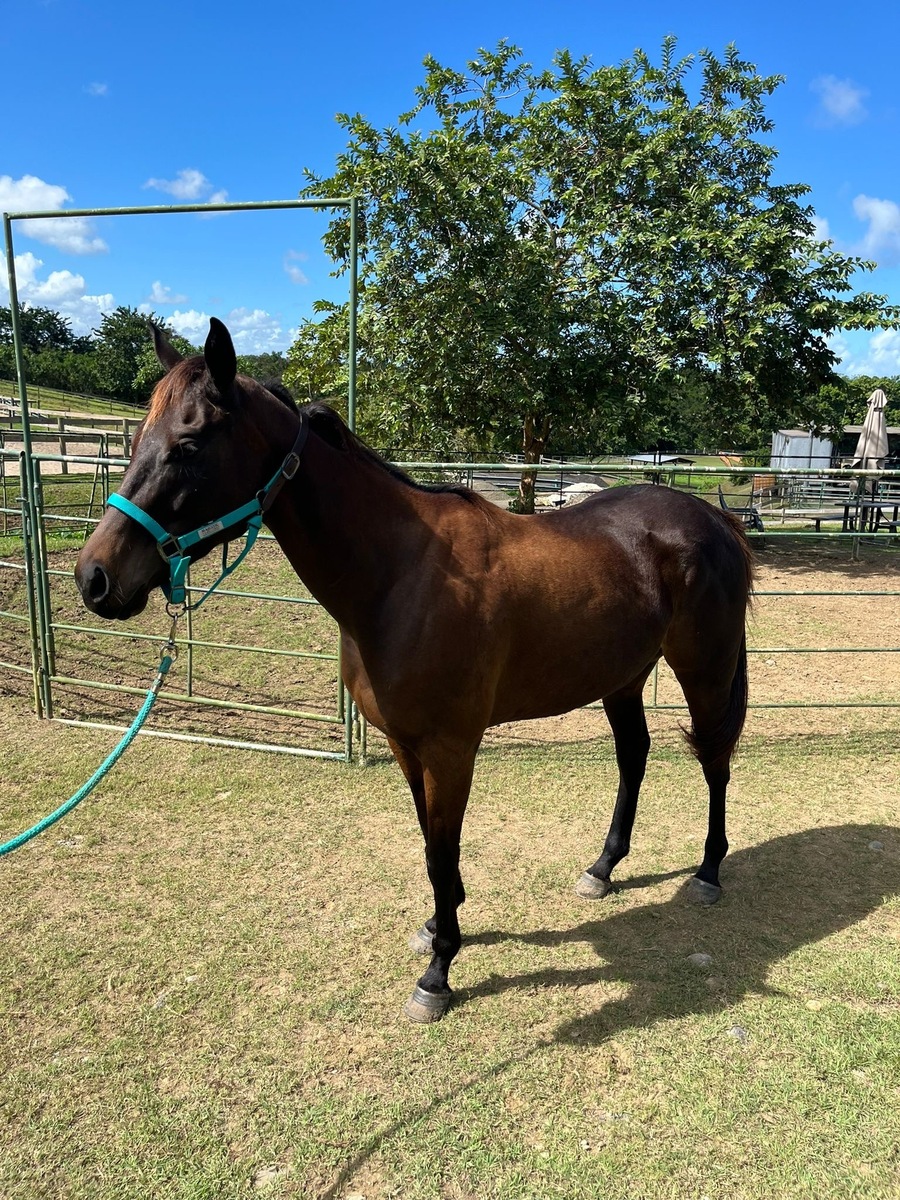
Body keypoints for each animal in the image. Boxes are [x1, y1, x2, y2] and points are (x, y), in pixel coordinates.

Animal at [75, 318, 754, 1023]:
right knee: (634, 756)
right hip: (622, 677)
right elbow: (431, 846)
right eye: (135, 441)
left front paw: (438, 972)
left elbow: (442, 848)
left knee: (715, 758)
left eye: (188, 444)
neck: (400, 574)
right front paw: (437, 927)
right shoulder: (406, 745)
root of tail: (716, 518)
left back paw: (708, 872)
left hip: (704, 670)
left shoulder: (451, 749)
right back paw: (602, 867)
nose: (95, 577)